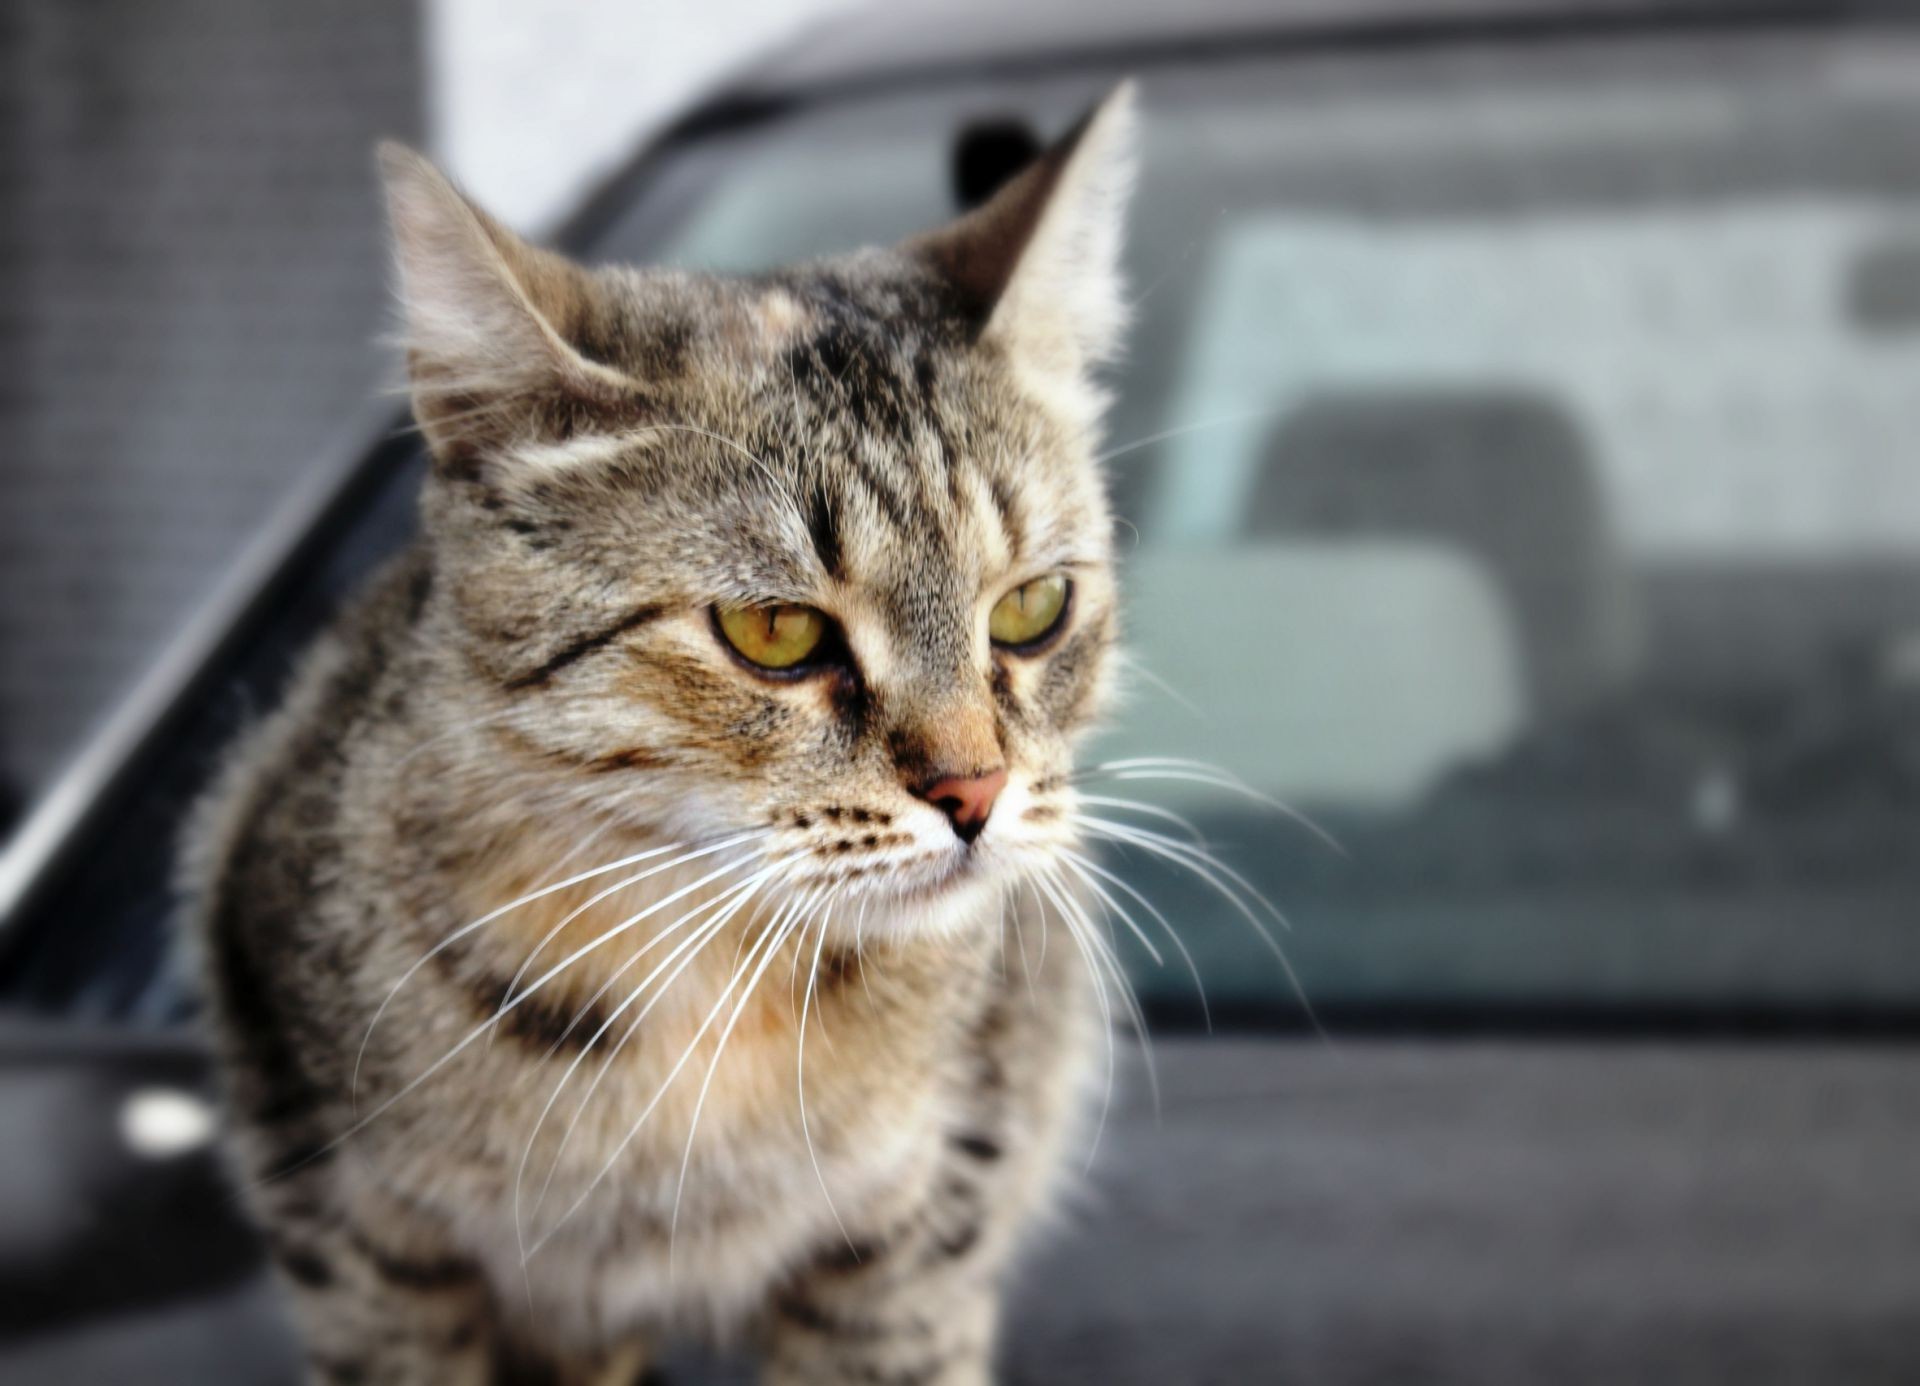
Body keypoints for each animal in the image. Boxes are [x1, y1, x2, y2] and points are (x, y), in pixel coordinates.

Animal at [194, 89, 1144, 1382]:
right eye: (776, 631)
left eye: (1033, 609)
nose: (976, 794)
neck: (710, 995)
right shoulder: (348, 1221)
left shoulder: (914, 1242)